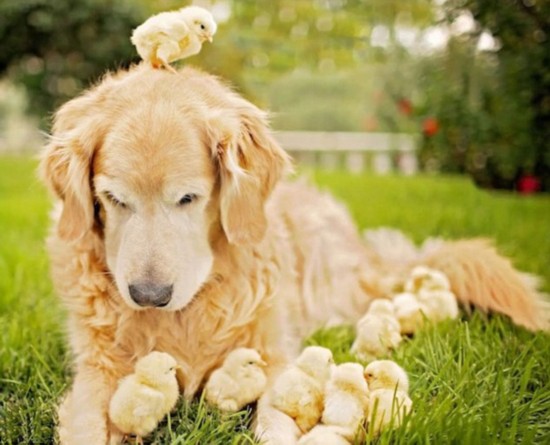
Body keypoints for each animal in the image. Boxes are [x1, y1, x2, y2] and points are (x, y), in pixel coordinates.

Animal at [42, 63, 550, 444]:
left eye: (188, 198)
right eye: (113, 198)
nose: (149, 296)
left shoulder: (276, 355)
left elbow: (277, 416)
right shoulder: (95, 372)